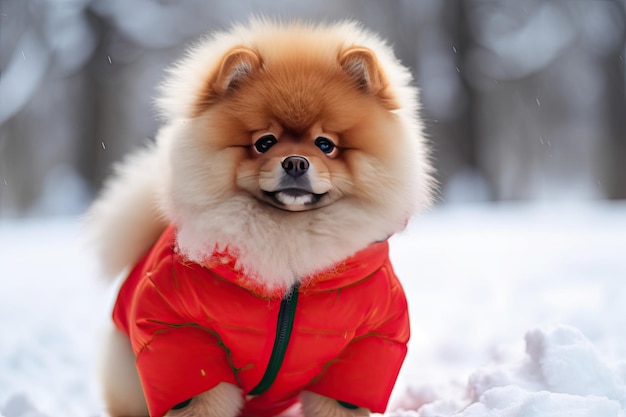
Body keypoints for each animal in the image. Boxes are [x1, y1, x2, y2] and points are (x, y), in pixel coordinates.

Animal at [83, 17, 432, 414]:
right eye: (264, 142)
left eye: (325, 144)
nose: (295, 162)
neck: (290, 248)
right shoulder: (180, 334)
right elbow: (197, 395)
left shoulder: (366, 343)